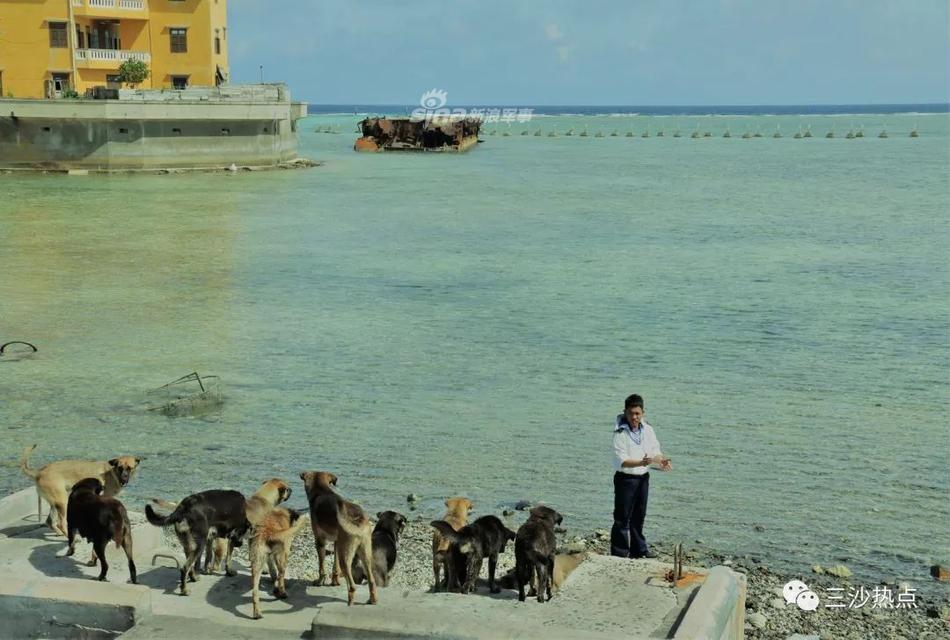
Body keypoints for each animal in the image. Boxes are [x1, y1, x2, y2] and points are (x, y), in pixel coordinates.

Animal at [300, 470, 378, 604]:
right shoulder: (337, 543)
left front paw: (320, 581)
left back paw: (350, 601)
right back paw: (372, 600)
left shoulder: (320, 541)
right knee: (371, 580)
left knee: (352, 585)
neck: (322, 490)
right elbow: (335, 567)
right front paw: (334, 581)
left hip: (345, 557)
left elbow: (321, 566)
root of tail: (359, 521)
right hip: (366, 553)